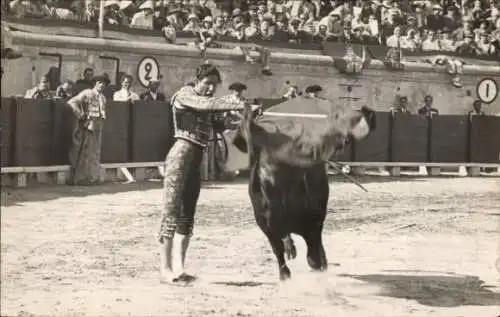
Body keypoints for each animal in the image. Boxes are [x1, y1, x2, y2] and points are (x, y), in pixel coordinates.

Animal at [227, 102, 376, 278]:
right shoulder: (270, 224)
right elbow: (281, 248)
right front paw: (289, 269)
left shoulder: (310, 220)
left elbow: (309, 245)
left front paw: (316, 262)